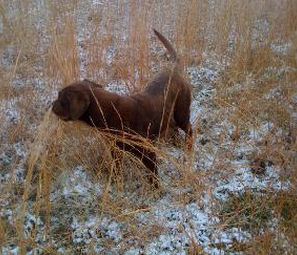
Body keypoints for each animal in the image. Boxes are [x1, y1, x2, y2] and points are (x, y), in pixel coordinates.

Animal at [52, 29, 193, 187]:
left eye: (61, 99)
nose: (50, 105)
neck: (110, 112)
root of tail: (173, 69)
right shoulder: (116, 150)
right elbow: (116, 168)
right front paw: (115, 182)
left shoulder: (147, 151)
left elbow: (152, 173)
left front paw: (156, 189)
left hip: (182, 112)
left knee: (189, 128)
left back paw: (188, 147)